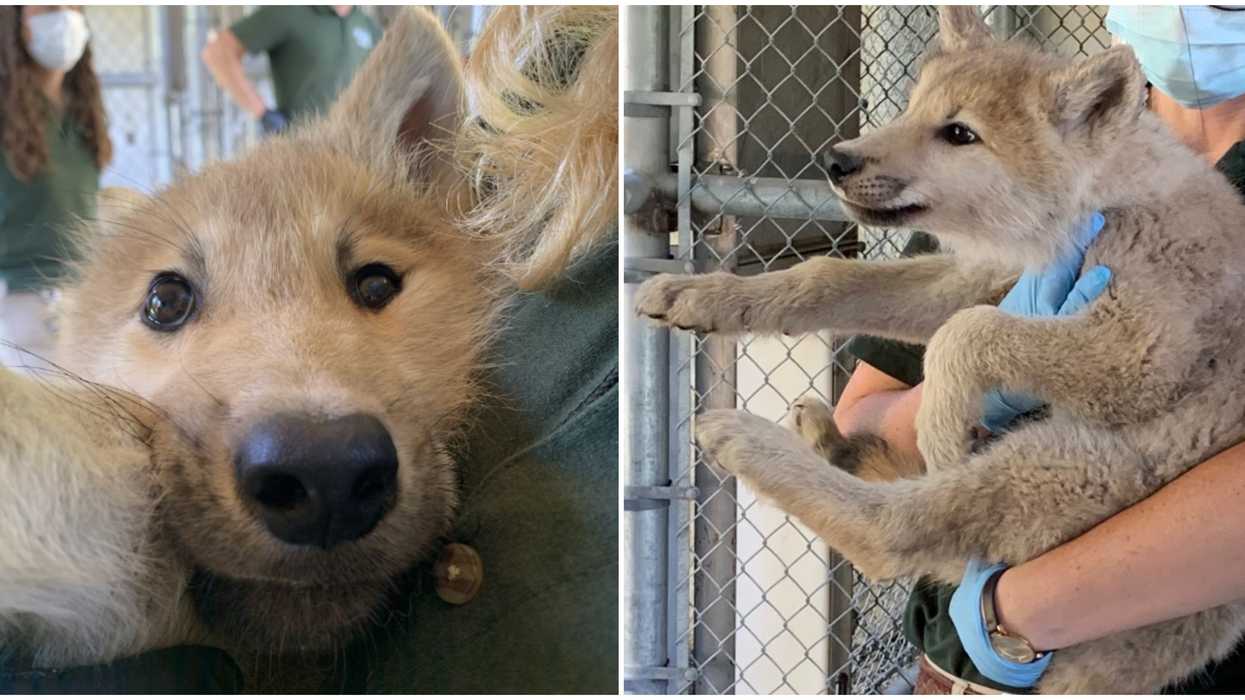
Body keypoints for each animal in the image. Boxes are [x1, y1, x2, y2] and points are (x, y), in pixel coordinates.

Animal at [637, 6, 1245, 693]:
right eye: (913, 107)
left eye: (959, 133)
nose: (836, 160)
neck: (1109, 195)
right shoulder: (986, 277)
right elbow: (830, 279)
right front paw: (706, 294)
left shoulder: (1141, 348)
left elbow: (967, 333)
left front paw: (941, 423)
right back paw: (827, 436)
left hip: (1076, 463)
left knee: (895, 533)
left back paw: (746, 439)